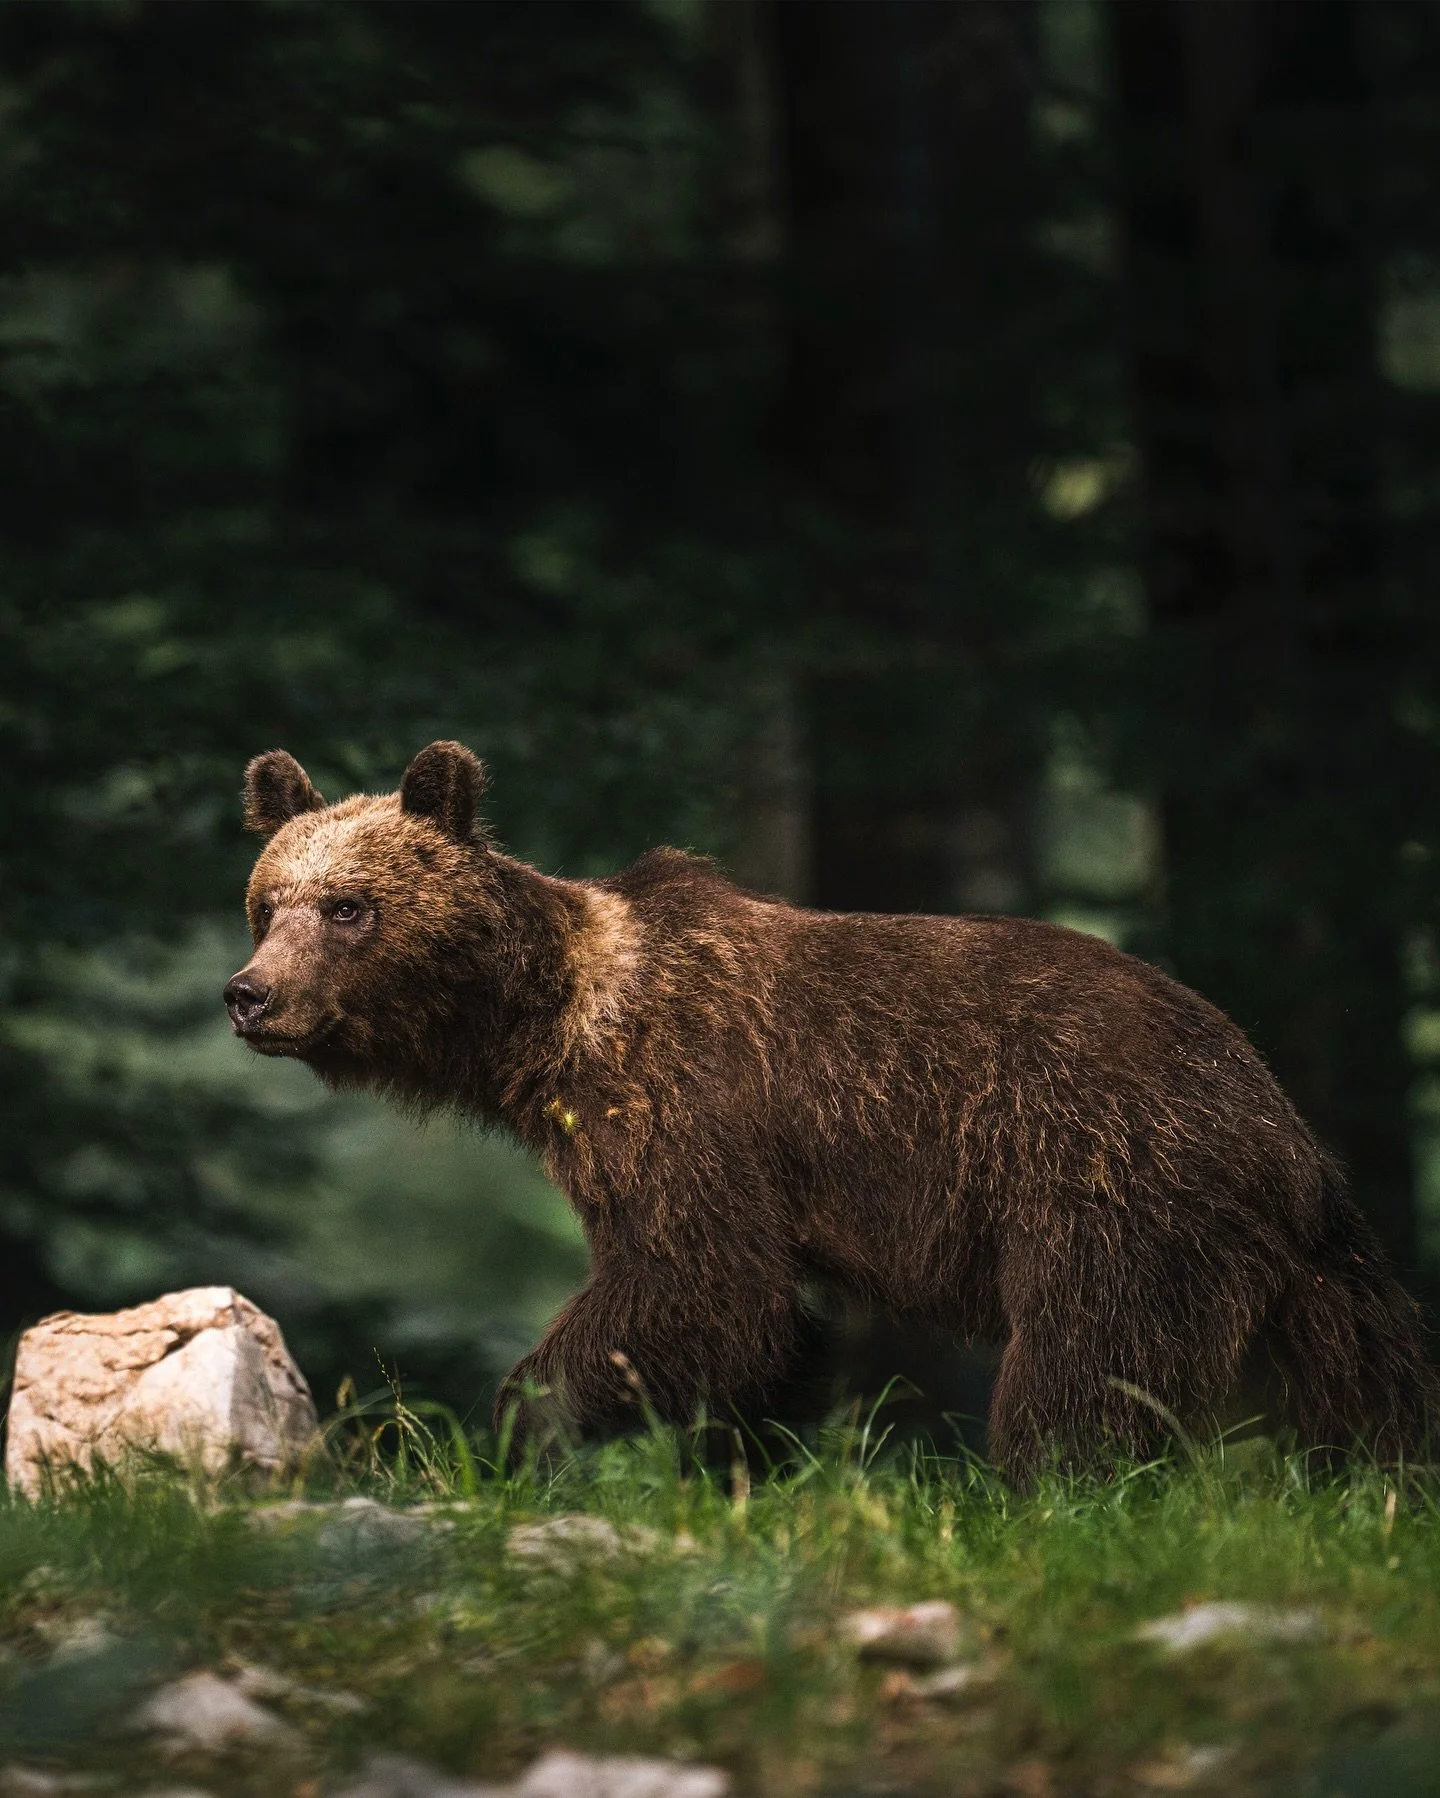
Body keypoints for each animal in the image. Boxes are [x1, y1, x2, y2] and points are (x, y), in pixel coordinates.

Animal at [225, 739, 1436, 1480]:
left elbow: (697, 1279)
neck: (545, 1029)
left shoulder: (687, 1105)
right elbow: (748, 1330)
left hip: (1114, 1182)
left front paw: (527, 1424)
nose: (250, 995)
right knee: (1365, 1381)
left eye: (350, 906)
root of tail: (1269, 1108)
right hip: (1311, 1267)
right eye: (265, 903)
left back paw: (1054, 1485)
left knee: (1084, 1362)